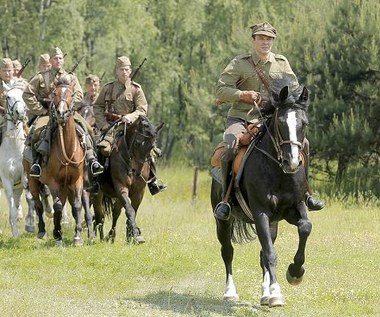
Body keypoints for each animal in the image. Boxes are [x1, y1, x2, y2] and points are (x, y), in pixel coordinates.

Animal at [27, 78, 94, 246]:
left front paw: (78, 237)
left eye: (71, 94)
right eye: (55, 94)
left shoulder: (76, 180)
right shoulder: (53, 182)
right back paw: (42, 231)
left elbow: (77, 205)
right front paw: (58, 235)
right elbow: (57, 205)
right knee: (38, 203)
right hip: (33, 181)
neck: (67, 150)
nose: (61, 113)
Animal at [93, 115, 163, 243]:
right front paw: (135, 233)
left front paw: (132, 235)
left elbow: (132, 211)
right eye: (137, 143)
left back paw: (111, 236)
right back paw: (99, 238)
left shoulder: (138, 192)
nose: (137, 172)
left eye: (151, 146)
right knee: (99, 216)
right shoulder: (122, 188)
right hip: (97, 194)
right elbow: (129, 210)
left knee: (115, 213)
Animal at [211, 79, 312, 306]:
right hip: (222, 221)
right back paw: (230, 292)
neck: (278, 171)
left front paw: (295, 272)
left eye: (303, 123)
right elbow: (270, 254)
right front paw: (275, 293)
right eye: (281, 123)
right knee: (227, 252)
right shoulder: (260, 213)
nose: (292, 162)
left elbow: (305, 228)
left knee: (262, 255)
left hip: (273, 223)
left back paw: (264, 293)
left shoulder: (295, 208)